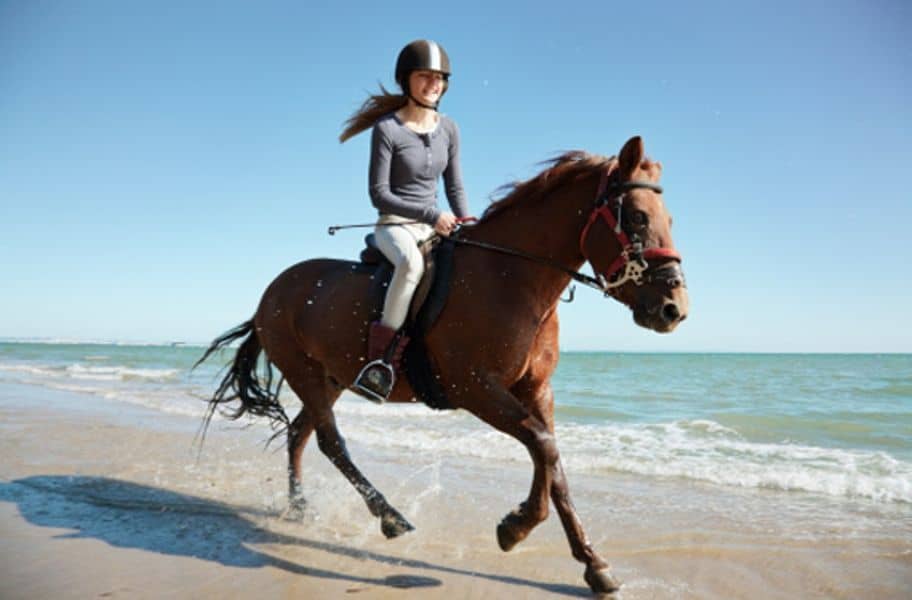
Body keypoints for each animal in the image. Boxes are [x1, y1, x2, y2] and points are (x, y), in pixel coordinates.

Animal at [196, 135, 688, 592]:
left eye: (668, 220)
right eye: (638, 217)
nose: (674, 309)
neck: (512, 279)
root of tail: (274, 289)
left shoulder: (536, 390)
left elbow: (554, 465)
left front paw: (593, 564)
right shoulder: (476, 388)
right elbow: (543, 446)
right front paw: (515, 528)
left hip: (330, 378)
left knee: (299, 435)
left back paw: (300, 507)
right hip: (306, 375)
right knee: (329, 442)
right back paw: (389, 517)